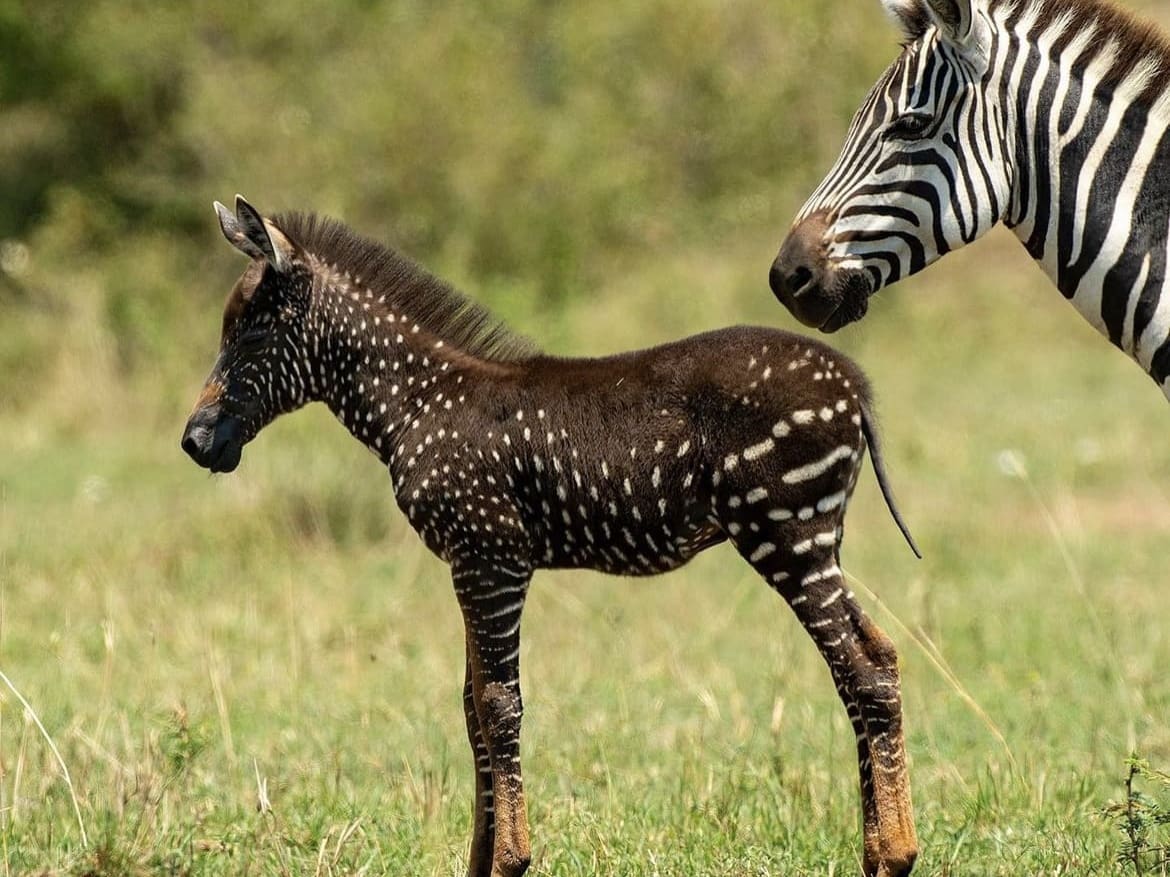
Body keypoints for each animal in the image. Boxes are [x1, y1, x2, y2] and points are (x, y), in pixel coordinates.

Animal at [183, 196, 922, 877]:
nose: (194, 443)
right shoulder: (473, 561)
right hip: (814, 541)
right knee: (877, 657)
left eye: (252, 334)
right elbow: (473, 711)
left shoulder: (491, 559)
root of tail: (853, 384)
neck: (417, 401)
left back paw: (897, 855)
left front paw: (510, 859)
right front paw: (479, 862)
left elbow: (498, 706)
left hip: (786, 533)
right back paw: (877, 850)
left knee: (861, 670)